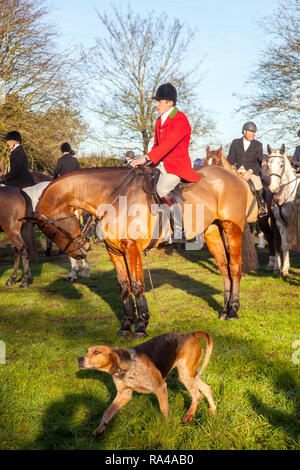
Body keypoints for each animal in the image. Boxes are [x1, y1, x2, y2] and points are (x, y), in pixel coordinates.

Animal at [22, 165, 258, 338]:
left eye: (51, 231)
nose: (80, 252)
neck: (112, 198)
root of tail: (233, 174)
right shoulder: (114, 251)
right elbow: (124, 287)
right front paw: (126, 326)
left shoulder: (131, 248)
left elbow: (137, 286)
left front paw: (142, 325)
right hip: (212, 231)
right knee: (224, 269)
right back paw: (225, 310)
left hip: (232, 228)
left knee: (234, 268)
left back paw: (233, 311)